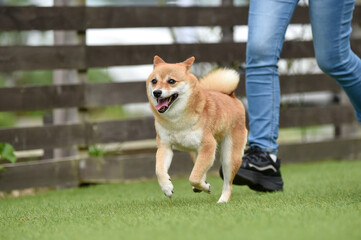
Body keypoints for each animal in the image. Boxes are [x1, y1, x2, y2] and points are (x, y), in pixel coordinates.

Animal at [145, 56, 246, 202]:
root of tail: (230, 95)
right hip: (195, 152)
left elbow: (194, 177)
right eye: (154, 81)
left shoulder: (208, 145)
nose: (156, 92)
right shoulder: (165, 146)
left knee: (228, 183)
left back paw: (222, 200)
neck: (177, 120)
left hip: (229, 157)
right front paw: (167, 187)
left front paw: (205, 187)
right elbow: (159, 170)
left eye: (171, 81)